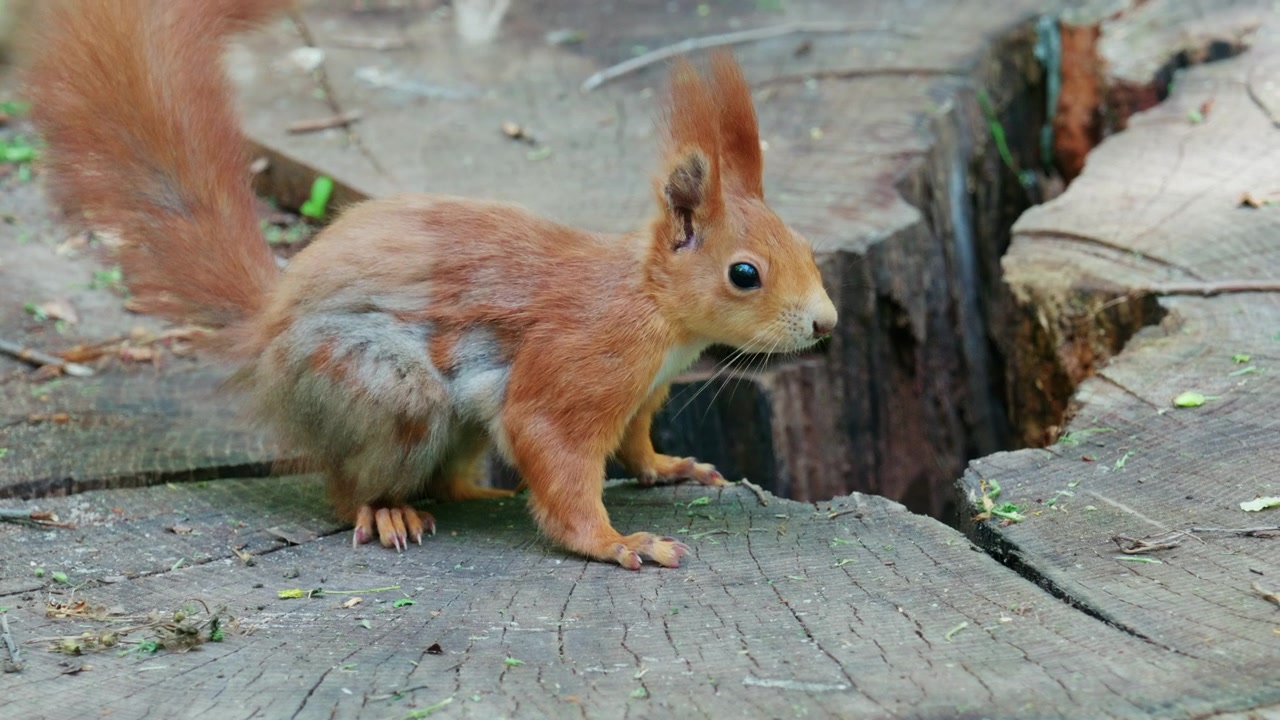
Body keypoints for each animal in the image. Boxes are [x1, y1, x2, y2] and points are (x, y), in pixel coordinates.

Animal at [26, 0, 838, 569]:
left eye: (806, 246)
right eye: (744, 274)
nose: (826, 324)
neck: (655, 308)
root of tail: (266, 329)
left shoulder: (645, 389)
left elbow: (634, 441)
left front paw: (669, 468)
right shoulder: (585, 356)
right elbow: (554, 447)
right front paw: (616, 543)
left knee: (448, 476)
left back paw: (477, 491)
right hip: (376, 387)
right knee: (347, 485)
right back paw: (387, 510)